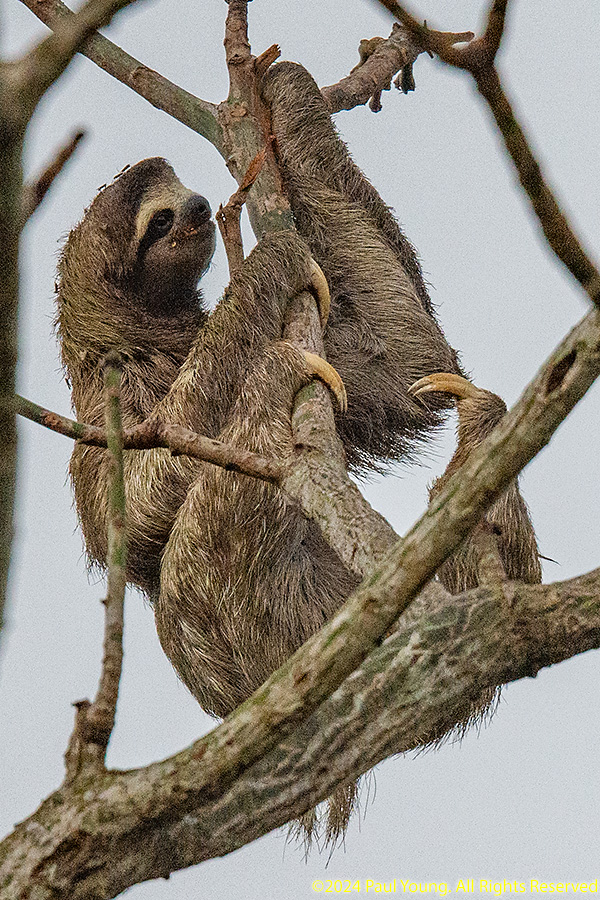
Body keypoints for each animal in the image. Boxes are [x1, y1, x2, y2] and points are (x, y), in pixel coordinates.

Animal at [56, 64, 540, 845]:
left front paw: (283, 88)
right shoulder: (106, 405)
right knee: (196, 552)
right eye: (157, 220)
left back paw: (480, 444)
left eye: (184, 194)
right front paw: (267, 269)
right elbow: (143, 496)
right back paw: (278, 376)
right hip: (259, 639)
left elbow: (402, 360)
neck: (152, 342)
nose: (201, 207)